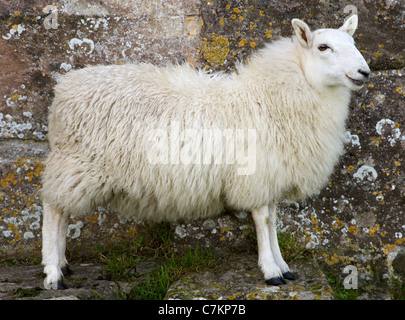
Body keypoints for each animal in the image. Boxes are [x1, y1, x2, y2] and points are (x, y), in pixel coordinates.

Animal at [41, 15, 370, 288]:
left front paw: (284, 266)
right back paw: (53, 273)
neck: (269, 96)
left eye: (354, 43)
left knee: (63, 213)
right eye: (323, 47)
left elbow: (272, 221)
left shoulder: (271, 175)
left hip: (74, 168)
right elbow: (262, 221)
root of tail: (64, 88)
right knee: (53, 210)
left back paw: (64, 264)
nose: (364, 71)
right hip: (76, 165)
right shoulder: (256, 175)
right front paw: (271, 271)